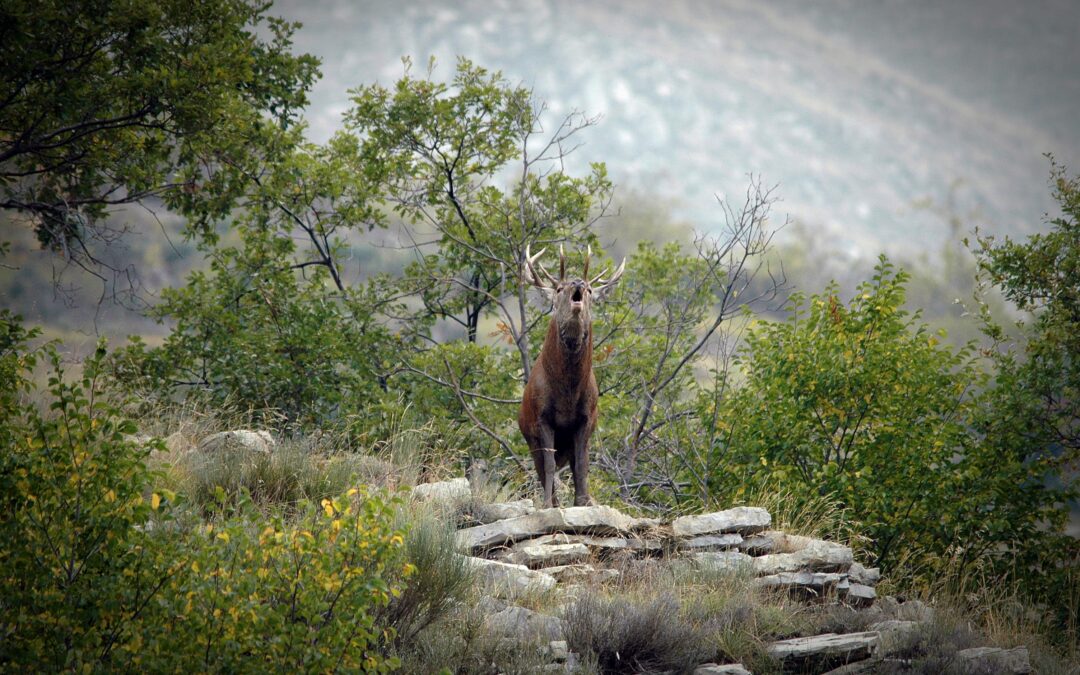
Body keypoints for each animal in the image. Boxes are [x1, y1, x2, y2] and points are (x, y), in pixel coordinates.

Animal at [518, 244, 625, 509]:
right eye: (559, 288)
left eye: (589, 289)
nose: (577, 282)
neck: (567, 393)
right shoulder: (542, 417)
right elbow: (548, 466)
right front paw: (548, 504)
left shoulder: (586, 418)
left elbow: (582, 465)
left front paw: (583, 501)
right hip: (530, 437)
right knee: (542, 468)